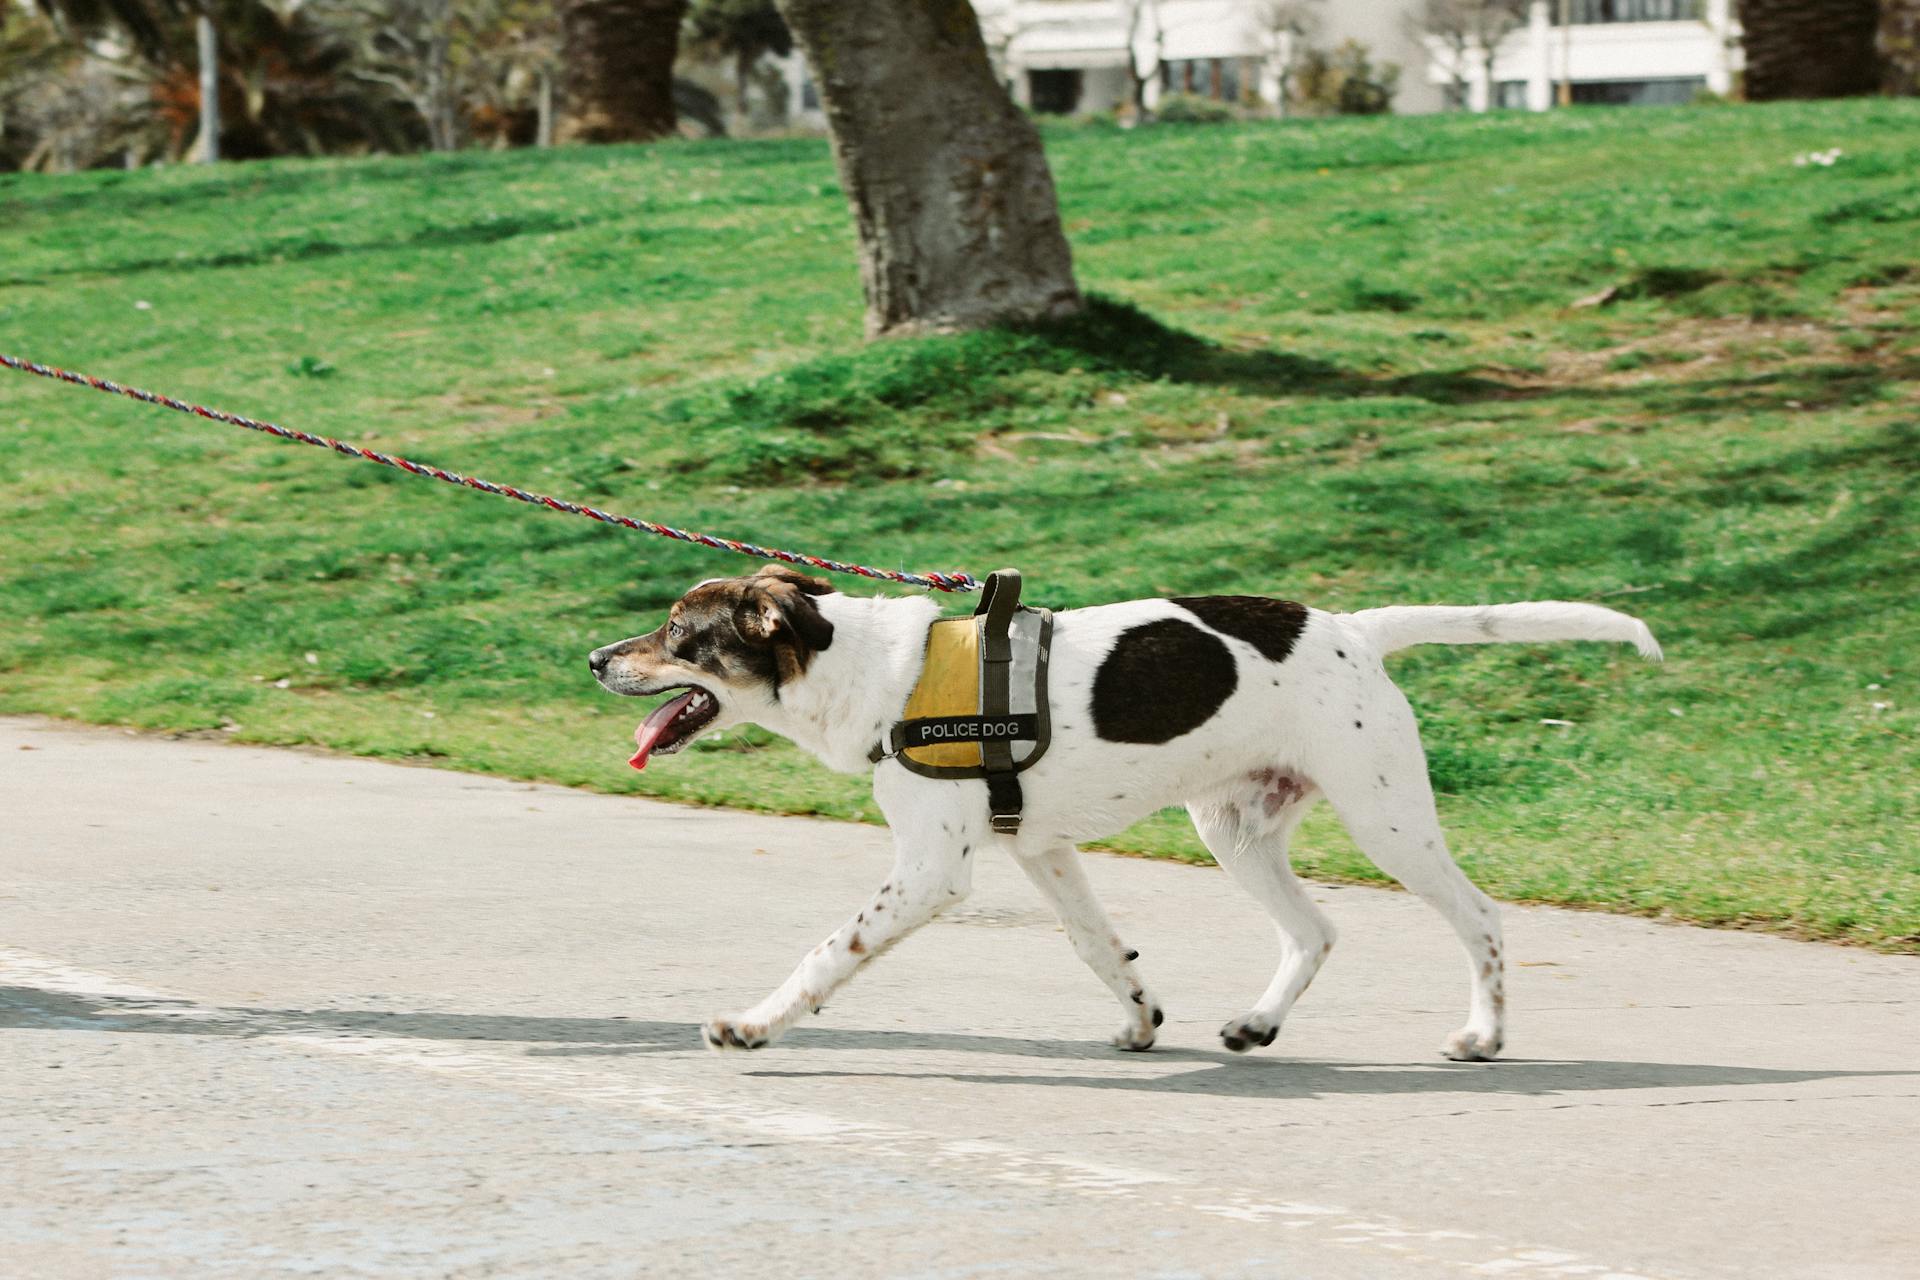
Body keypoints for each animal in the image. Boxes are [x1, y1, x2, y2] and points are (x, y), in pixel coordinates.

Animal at [583, 568, 1651, 1059]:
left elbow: (825, 954)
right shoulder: (1039, 849)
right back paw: (1257, 1024)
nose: (594, 658)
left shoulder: (933, 869)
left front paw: (754, 1025)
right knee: (1316, 931)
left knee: (1480, 916)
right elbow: (1100, 948)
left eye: (678, 634)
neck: (867, 674)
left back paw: (1483, 1036)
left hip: (1385, 818)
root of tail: (1354, 629)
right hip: (1235, 831)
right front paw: (1141, 1017)